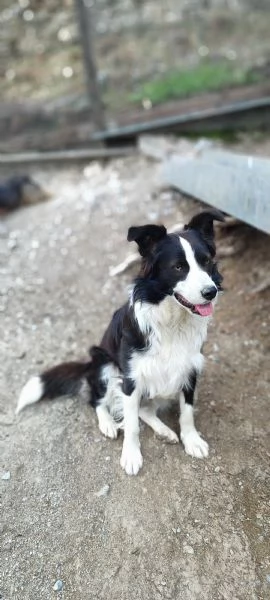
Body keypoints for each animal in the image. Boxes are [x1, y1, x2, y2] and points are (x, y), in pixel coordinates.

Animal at [16, 209, 224, 476]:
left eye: (206, 261)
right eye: (178, 267)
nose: (211, 292)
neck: (172, 321)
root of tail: (89, 364)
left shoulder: (189, 366)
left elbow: (187, 411)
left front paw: (192, 440)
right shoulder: (131, 377)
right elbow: (132, 424)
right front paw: (131, 455)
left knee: (145, 409)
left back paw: (164, 431)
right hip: (106, 365)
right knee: (97, 400)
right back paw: (108, 424)